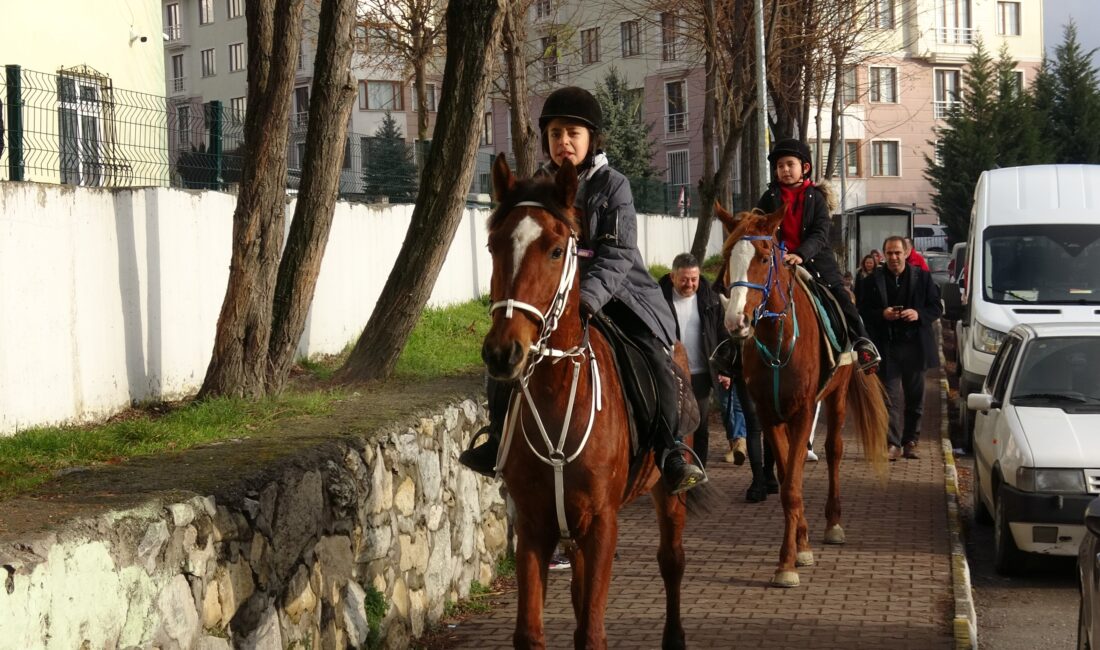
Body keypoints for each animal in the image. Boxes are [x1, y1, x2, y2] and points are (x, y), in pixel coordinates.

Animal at [484, 155, 690, 646]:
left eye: (557, 250)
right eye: (493, 246)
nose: (502, 353)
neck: (558, 395)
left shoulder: (602, 525)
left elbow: (592, 632)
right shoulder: (535, 525)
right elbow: (532, 632)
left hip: (668, 492)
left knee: (671, 560)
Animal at [717, 204, 888, 589]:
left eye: (764, 257)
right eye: (727, 257)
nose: (736, 323)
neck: (778, 338)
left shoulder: (803, 412)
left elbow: (793, 486)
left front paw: (788, 563)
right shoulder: (769, 415)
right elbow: (786, 483)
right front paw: (799, 547)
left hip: (837, 397)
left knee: (834, 452)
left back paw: (834, 524)